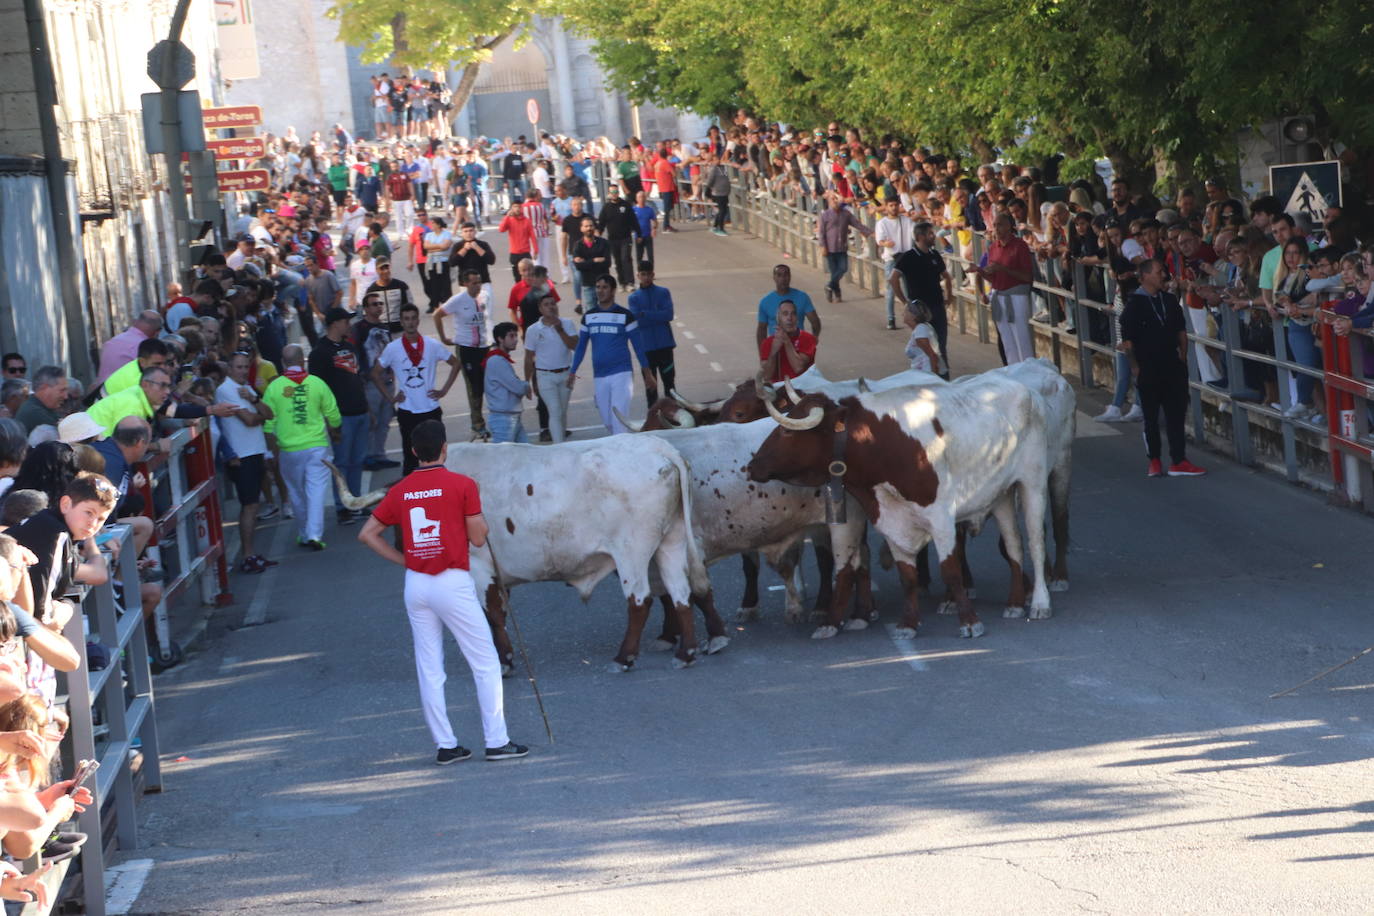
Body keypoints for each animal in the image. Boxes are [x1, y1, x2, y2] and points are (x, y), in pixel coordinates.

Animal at [752, 376, 1049, 642]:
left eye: (787, 431)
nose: (752, 465)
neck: (881, 445)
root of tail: (1023, 388)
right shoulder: (891, 521)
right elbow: (907, 576)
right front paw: (908, 624)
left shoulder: (941, 517)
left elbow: (951, 570)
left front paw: (969, 622)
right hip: (1000, 496)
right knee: (1014, 545)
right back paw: (1015, 602)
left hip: (1032, 484)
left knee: (1035, 544)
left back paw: (1040, 603)